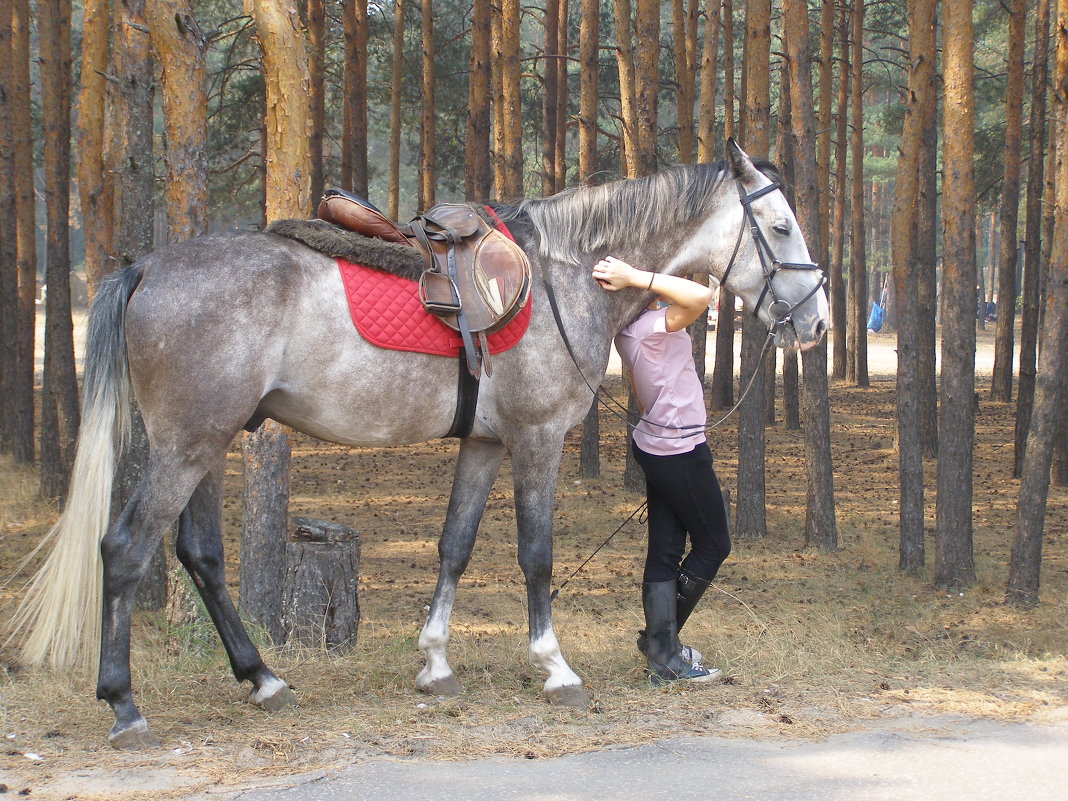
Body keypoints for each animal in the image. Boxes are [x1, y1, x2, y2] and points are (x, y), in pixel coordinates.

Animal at [14, 140, 824, 751]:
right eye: (781, 226)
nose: (816, 322)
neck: (566, 275)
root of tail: (147, 266)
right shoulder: (536, 439)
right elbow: (537, 555)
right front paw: (555, 667)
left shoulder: (487, 444)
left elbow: (454, 546)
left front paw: (435, 664)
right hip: (185, 446)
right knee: (124, 550)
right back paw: (125, 705)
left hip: (206, 445)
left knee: (202, 556)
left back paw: (263, 678)